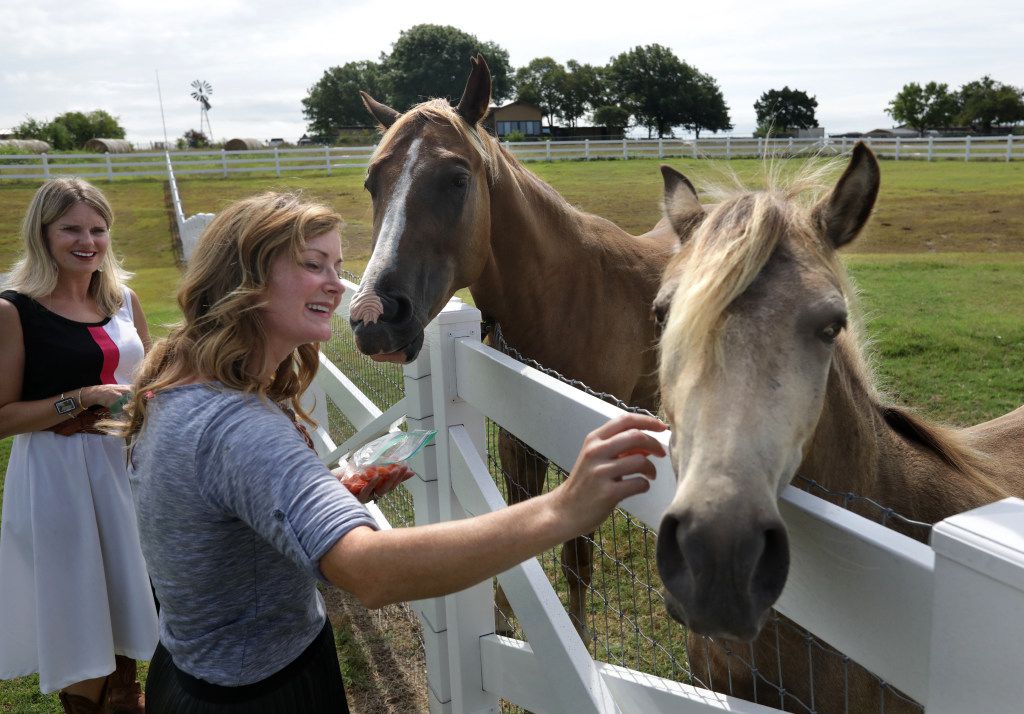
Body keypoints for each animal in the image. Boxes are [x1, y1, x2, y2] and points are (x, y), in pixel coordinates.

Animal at [350, 57, 679, 635]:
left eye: (458, 179)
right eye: (372, 182)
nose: (374, 317)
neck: (569, 293)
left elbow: (576, 559)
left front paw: (578, 634)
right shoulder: (515, 441)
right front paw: (504, 622)